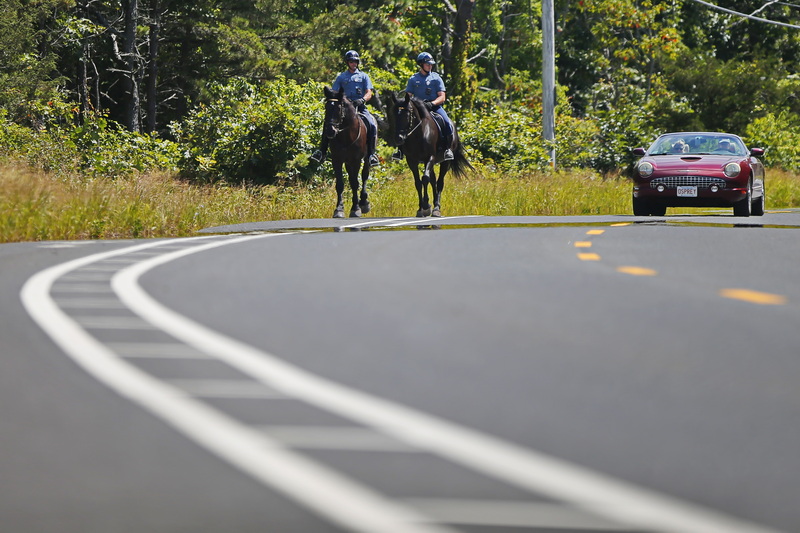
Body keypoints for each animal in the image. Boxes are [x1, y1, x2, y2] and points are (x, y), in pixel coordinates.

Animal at [322, 84, 372, 216]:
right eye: (326, 108)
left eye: (339, 108)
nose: (330, 131)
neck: (346, 137)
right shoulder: (337, 160)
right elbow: (340, 184)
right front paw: (339, 209)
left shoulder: (356, 160)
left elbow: (355, 183)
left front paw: (355, 209)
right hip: (348, 162)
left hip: (366, 159)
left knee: (364, 176)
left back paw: (364, 202)